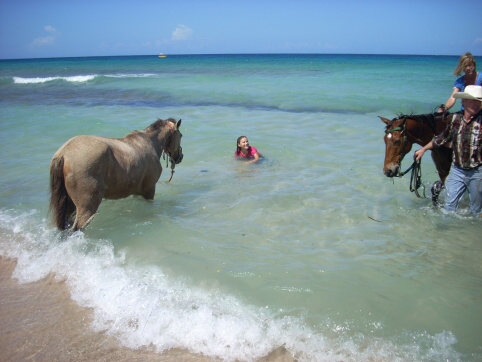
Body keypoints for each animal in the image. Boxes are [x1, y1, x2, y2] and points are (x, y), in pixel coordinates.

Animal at [49, 119, 183, 232]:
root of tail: (64, 153)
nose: (180, 157)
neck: (151, 143)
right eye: (180, 135)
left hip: (69, 205)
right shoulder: (149, 190)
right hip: (86, 208)